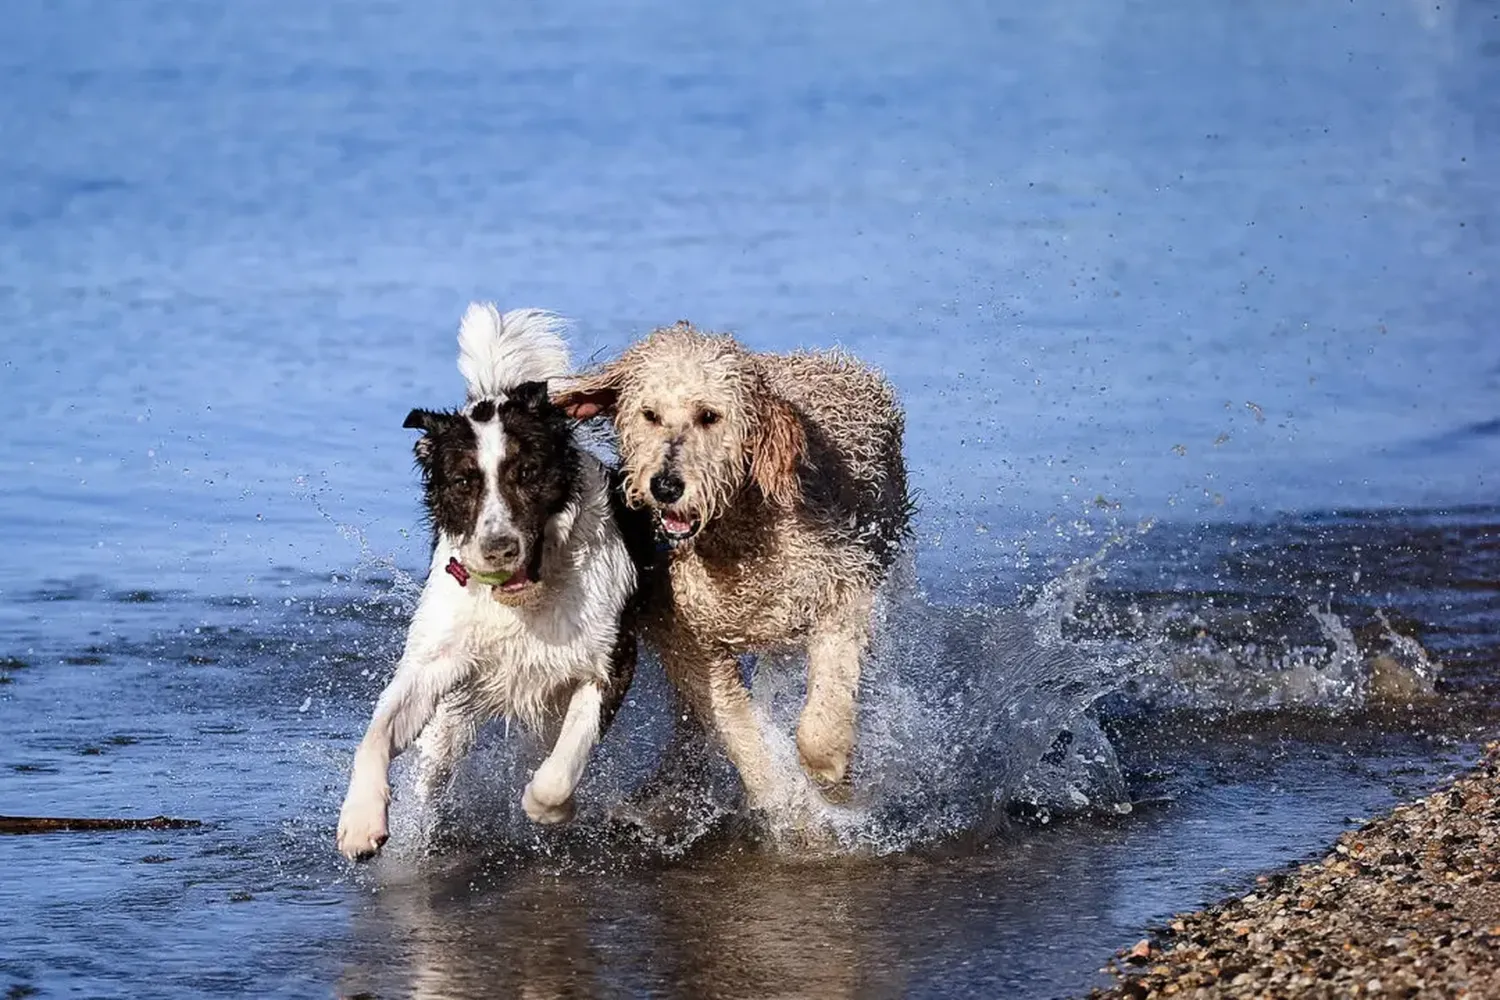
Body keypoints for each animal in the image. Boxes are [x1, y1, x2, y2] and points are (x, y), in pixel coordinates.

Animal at [339, 305, 651, 863]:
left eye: (527, 472)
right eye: (464, 481)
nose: (498, 549)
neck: (524, 600)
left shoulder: (610, 657)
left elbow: (561, 765)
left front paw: (552, 809)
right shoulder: (436, 656)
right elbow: (376, 732)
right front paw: (360, 821)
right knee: (437, 762)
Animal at [555, 322, 912, 815]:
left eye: (709, 416)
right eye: (649, 414)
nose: (666, 486)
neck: (736, 541)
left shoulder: (844, 587)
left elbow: (827, 703)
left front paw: (829, 775)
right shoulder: (688, 638)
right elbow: (735, 724)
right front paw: (779, 796)